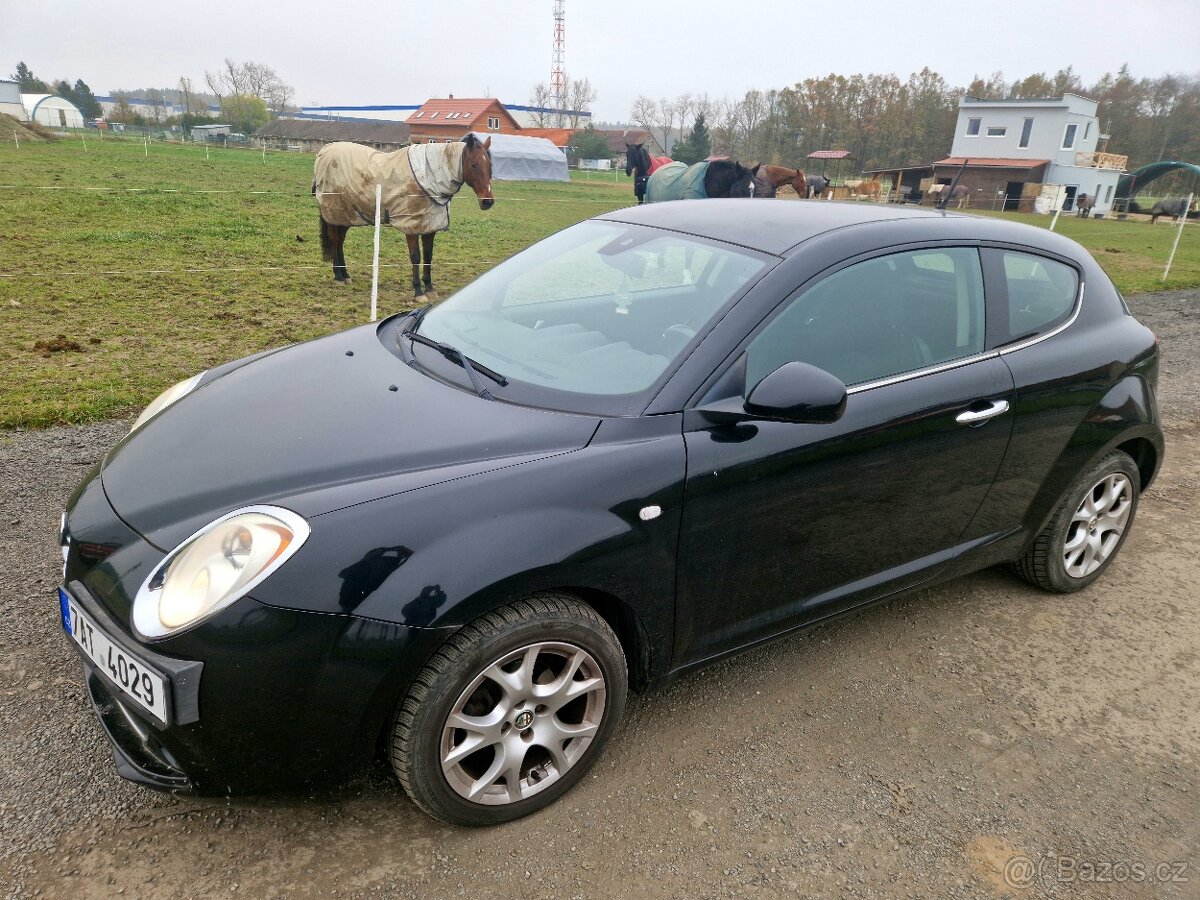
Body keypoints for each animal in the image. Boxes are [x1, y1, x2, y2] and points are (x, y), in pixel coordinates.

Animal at [314, 133, 496, 296]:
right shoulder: (411, 226)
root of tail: (325, 151)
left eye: (490, 166)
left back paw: (346, 275)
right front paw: (418, 292)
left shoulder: (429, 226)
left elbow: (428, 256)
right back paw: (338, 277)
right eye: (474, 164)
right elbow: (415, 256)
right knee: (335, 240)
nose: (487, 201)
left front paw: (429, 289)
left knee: (340, 242)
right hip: (334, 215)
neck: (428, 176)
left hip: (346, 216)